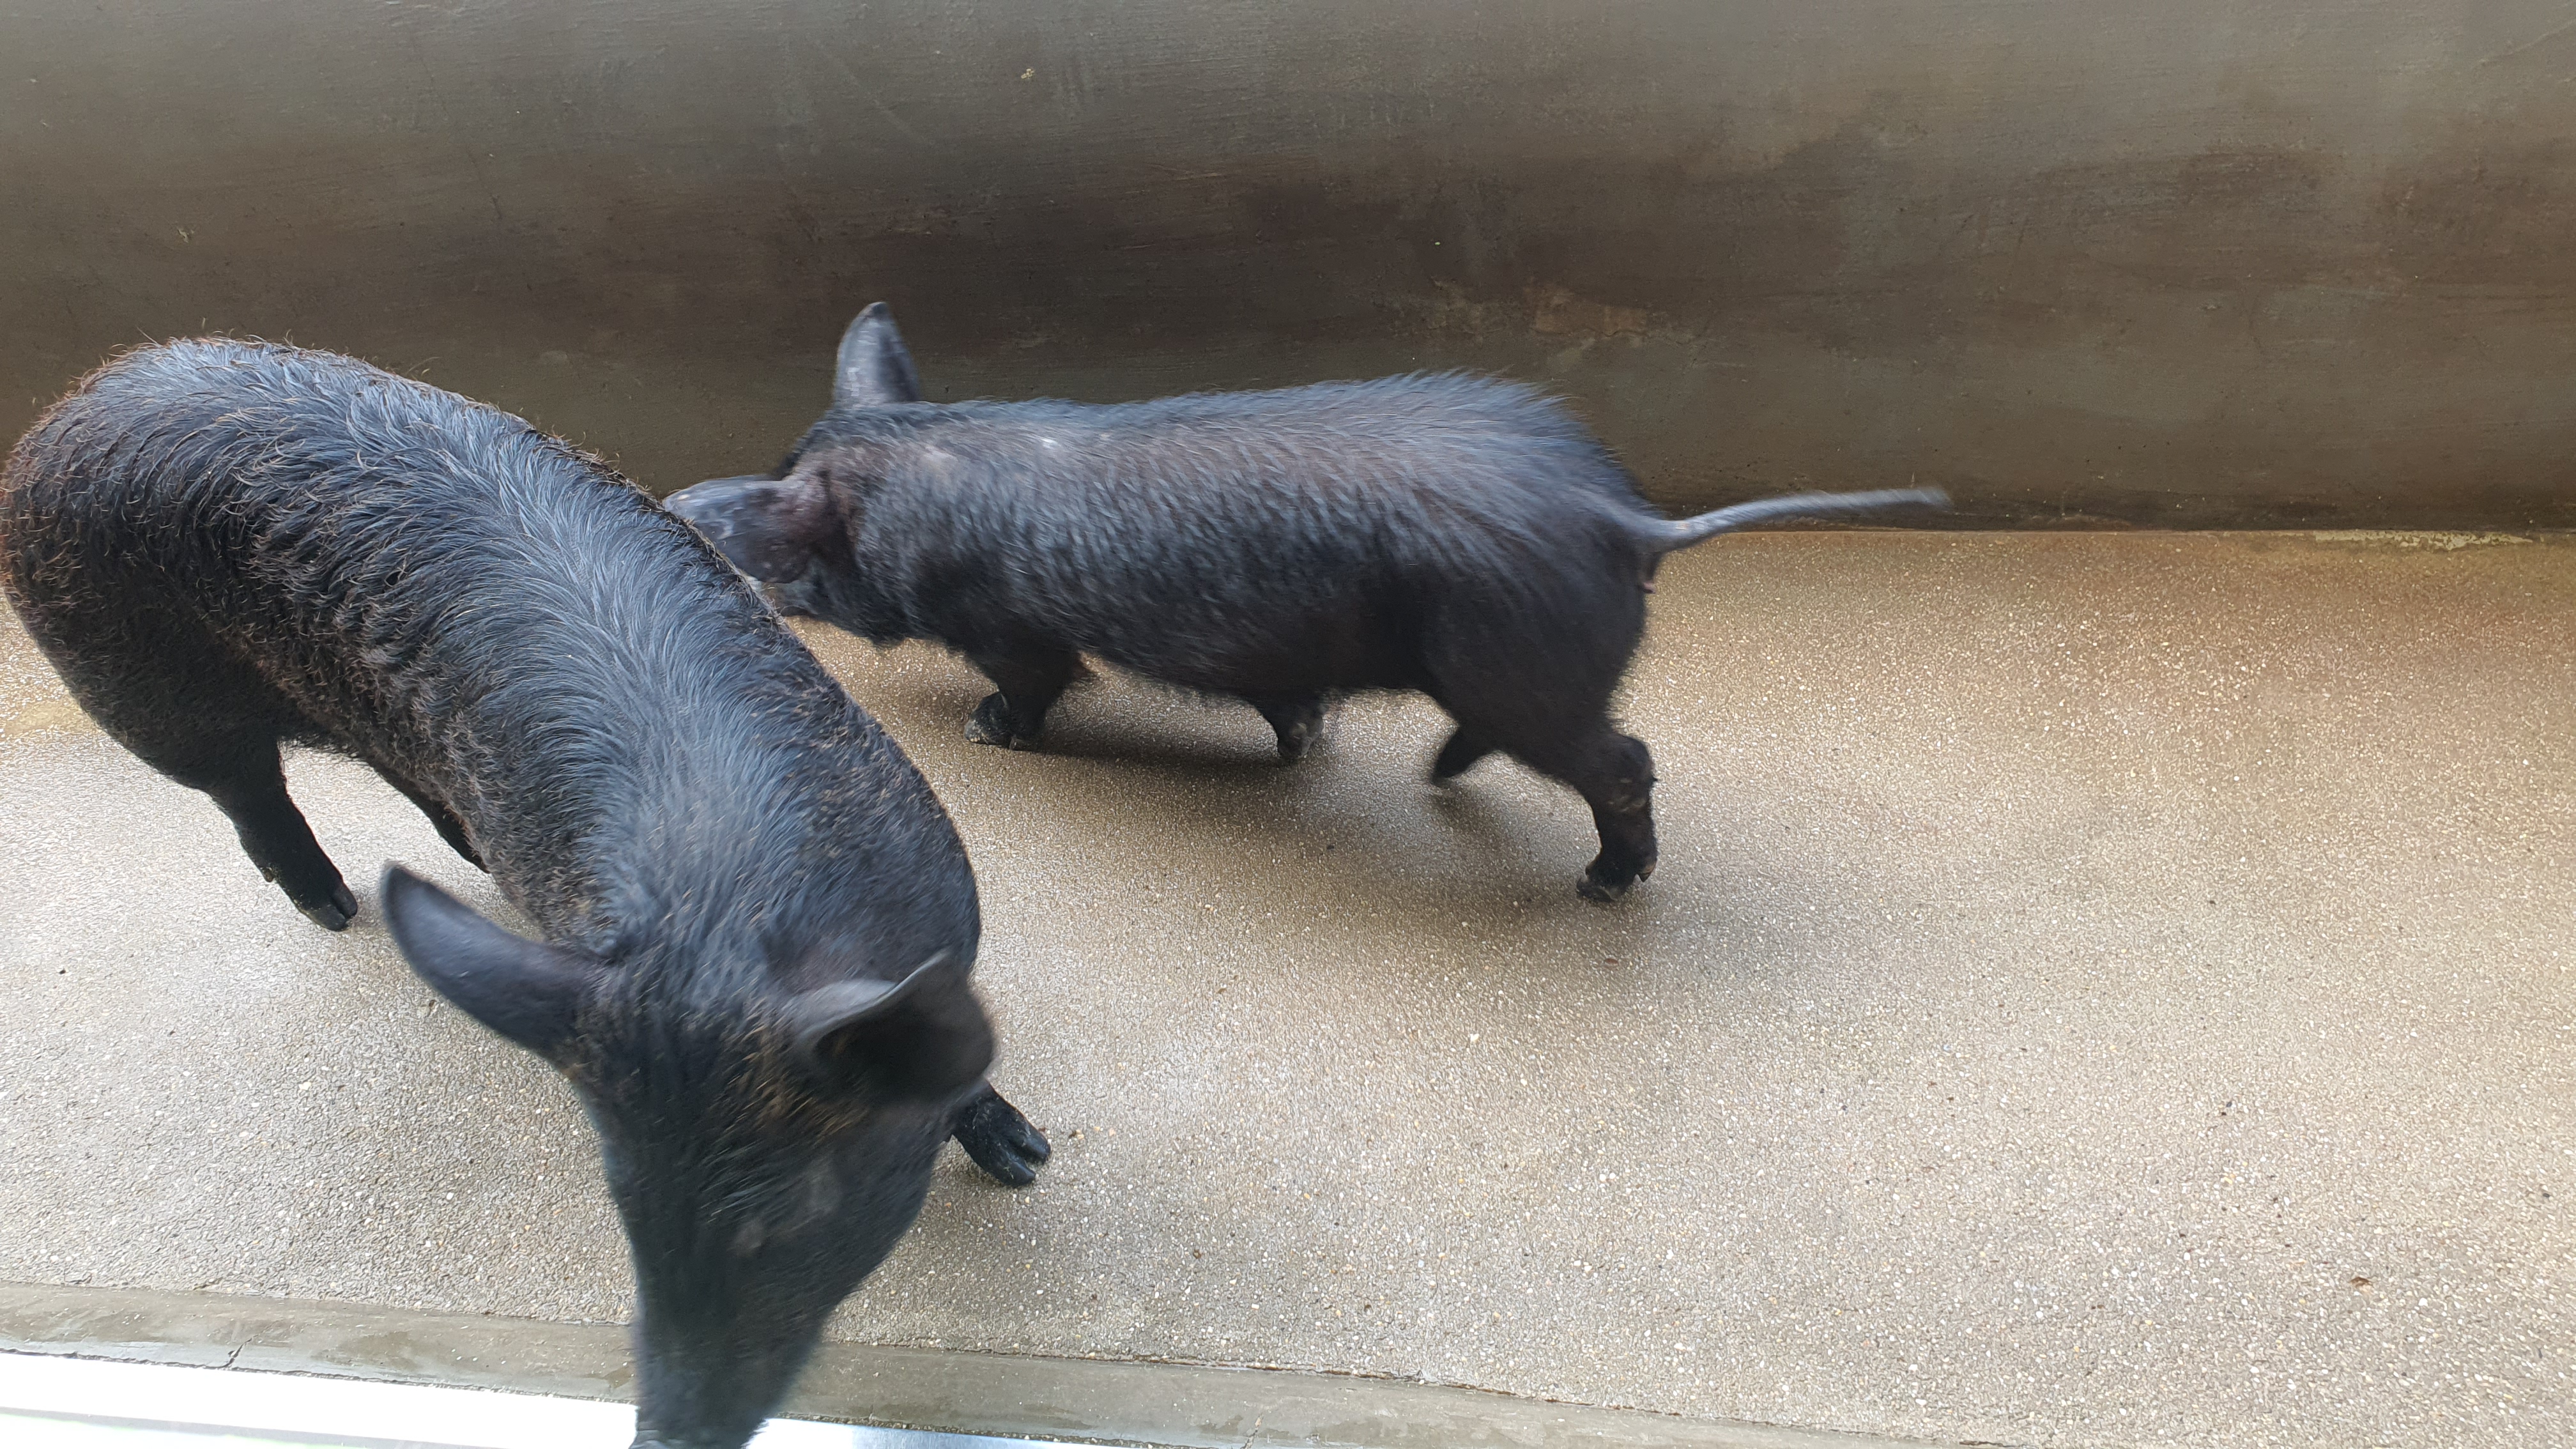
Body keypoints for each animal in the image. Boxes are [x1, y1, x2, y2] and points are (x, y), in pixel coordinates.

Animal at [2, 340, 1045, 1443]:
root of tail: (65, 412)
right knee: (247, 790)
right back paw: (332, 910)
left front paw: (1029, 1160)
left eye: (790, 1215)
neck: (720, 921)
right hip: (135, 689)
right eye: (629, 1213)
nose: (661, 1431)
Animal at [675, 304, 1937, 897]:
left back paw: (1599, 884)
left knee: (1622, 760)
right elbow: (1288, 704)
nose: (702, 518)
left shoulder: (1011, 628)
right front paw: (1298, 746)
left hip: (1523, 664)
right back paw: (1437, 776)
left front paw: (989, 735)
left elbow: (1036, 685)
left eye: (797, 547)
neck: (919, 473)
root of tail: (1621, 519)